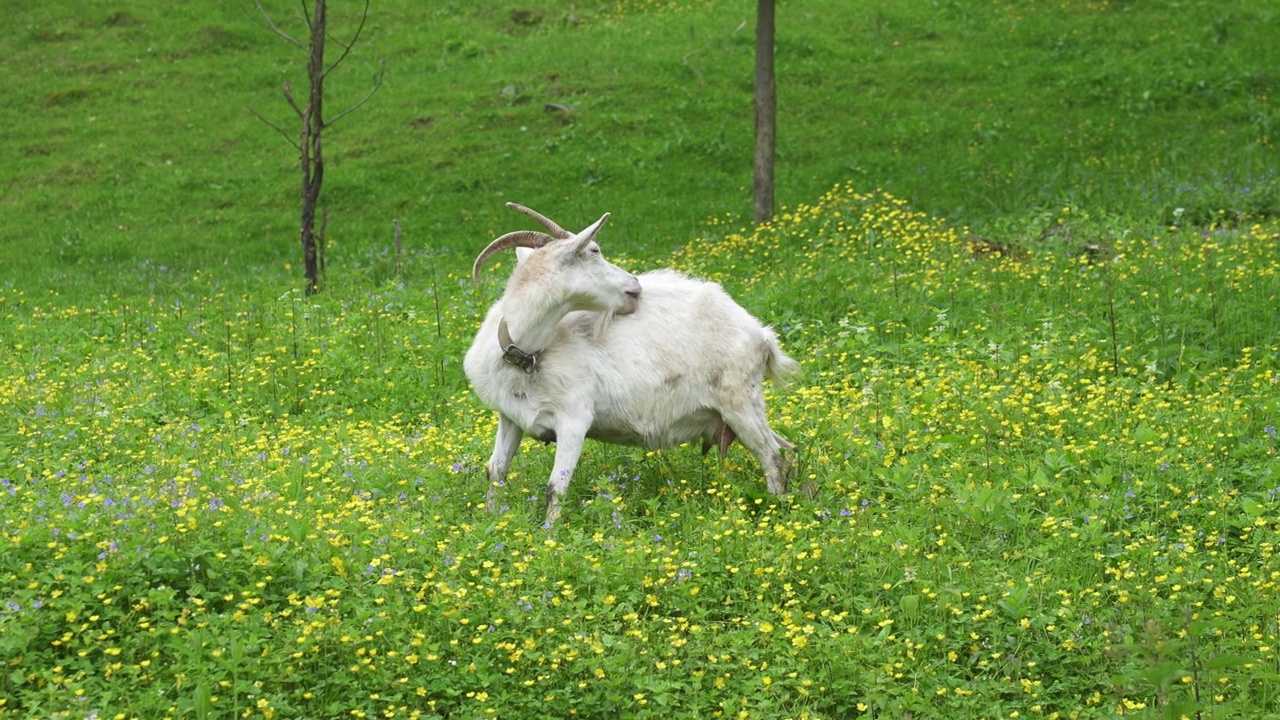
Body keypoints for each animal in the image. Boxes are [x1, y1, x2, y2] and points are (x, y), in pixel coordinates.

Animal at [465, 202, 793, 520]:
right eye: (594, 251)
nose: (635, 285)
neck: (527, 355)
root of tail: (761, 333)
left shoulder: (574, 419)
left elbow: (555, 487)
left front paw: (549, 535)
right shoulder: (510, 417)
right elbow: (496, 471)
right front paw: (491, 521)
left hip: (740, 401)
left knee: (772, 457)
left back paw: (777, 510)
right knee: (786, 449)